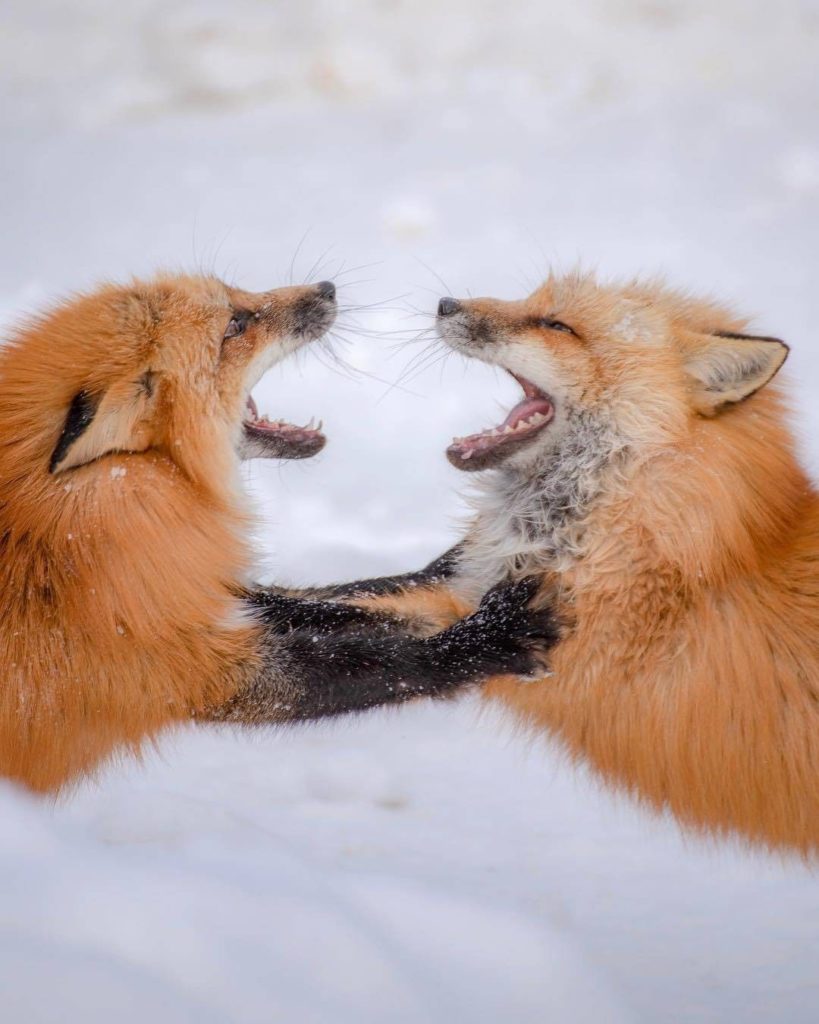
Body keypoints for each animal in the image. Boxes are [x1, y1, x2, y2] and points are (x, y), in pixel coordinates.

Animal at [0, 272, 557, 794]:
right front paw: (484, 638)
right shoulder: (191, 668)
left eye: (234, 295)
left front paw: (435, 588)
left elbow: (329, 603)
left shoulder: (188, 591)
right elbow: (379, 659)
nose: (327, 288)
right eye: (233, 326)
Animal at [315, 271, 819, 856]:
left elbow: (371, 642)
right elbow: (336, 606)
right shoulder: (472, 588)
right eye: (532, 301)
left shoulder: (552, 650)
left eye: (558, 326)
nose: (445, 303)